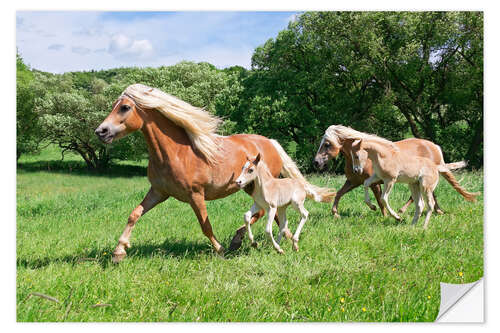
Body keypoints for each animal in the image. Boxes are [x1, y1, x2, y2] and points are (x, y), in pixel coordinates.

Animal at [95, 83, 334, 262]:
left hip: (257, 185)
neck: (175, 153)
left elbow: (205, 225)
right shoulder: (158, 192)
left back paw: (241, 241)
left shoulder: (195, 195)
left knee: (262, 212)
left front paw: (220, 250)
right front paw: (119, 251)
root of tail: (271, 142)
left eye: (125, 107)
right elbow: (134, 214)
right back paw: (282, 238)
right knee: (270, 215)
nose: (101, 131)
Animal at [314, 125, 466, 218]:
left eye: (327, 144)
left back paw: (403, 210)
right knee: (429, 193)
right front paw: (335, 213)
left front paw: (382, 213)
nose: (316, 162)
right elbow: (339, 194)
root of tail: (434, 146)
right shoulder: (353, 181)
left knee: (419, 195)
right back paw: (437, 210)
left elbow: (380, 200)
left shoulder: (375, 183)